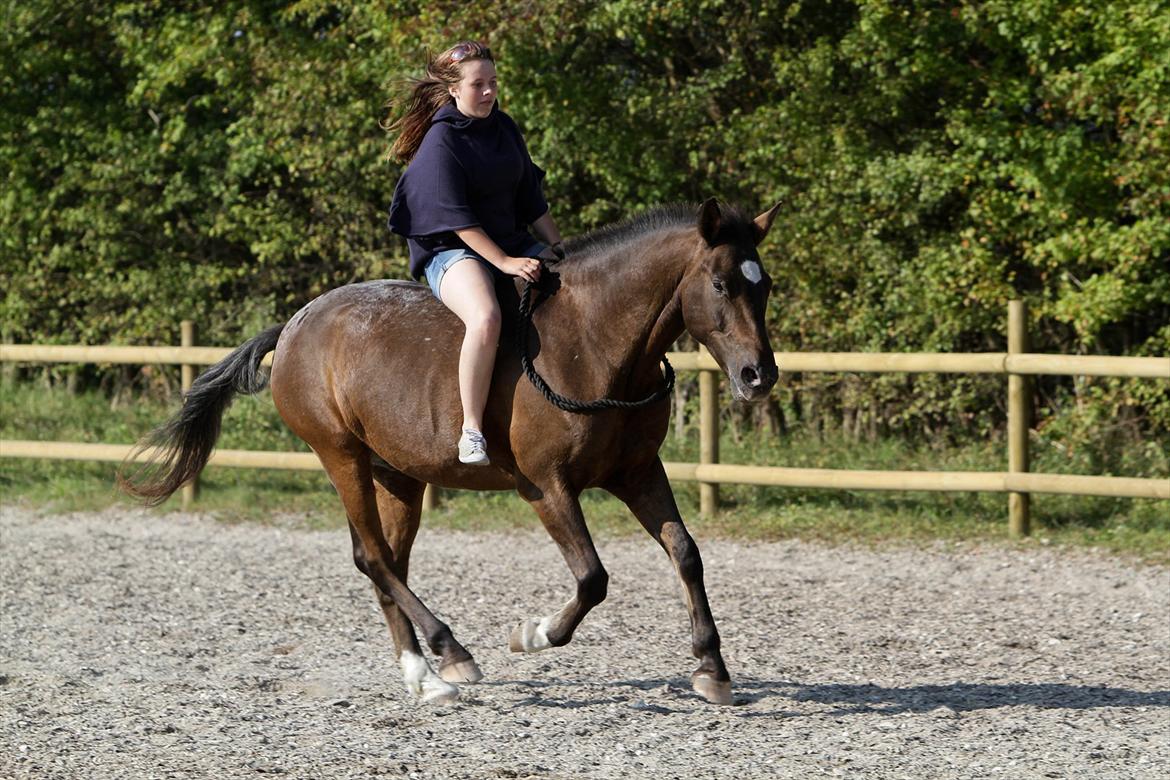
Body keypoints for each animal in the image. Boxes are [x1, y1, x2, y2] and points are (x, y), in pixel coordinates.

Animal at [123, 199, 781, 706]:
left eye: (765, 285)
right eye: (721, 284)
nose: (759, 376)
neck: (592, 342)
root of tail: (294, 326)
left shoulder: (639, 473)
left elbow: (686, 554)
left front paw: (712, 670)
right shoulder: (547, 487)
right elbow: (593, 578)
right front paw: (534, 634)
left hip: (398, 477)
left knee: (387, 563)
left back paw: (424, 675)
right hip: (341, 458)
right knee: (375, 558)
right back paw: (449, 653)